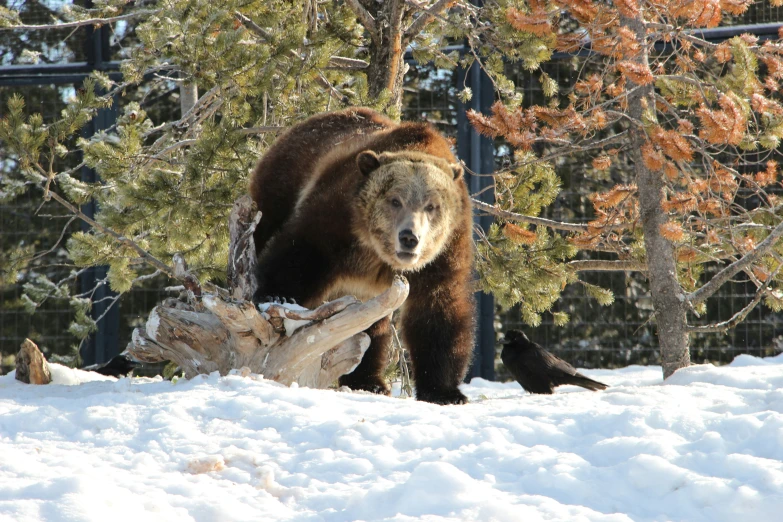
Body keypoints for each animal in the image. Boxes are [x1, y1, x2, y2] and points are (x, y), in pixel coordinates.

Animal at [248, 106, 474, 402]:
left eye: (431, 205)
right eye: (395, 200)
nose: (409, 238)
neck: (378, 253)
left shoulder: (444, 252)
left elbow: (438, 312)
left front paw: (445, 391)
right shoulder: (340, 215)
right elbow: (301, 253)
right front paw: (277, 296)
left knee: (368, 328)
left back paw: (369, 380)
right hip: (282, 182)